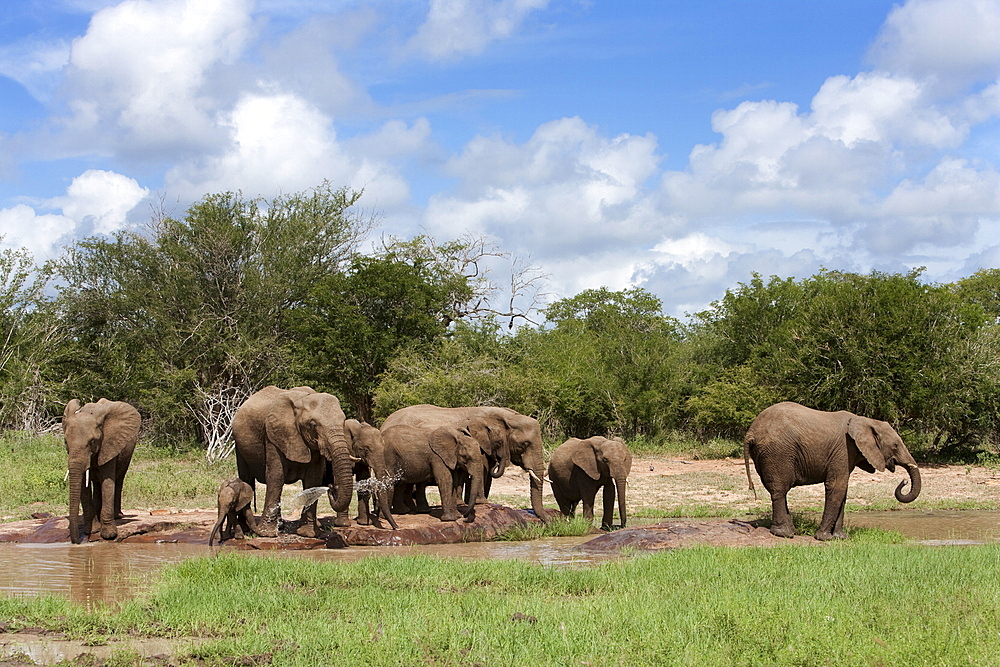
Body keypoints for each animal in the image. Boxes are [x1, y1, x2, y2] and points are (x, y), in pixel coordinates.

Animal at [62, 400, 141, 544]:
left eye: (92, 441)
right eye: (66, 442)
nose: (76, 542)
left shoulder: (109, 443)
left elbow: (108, 482)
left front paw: (109, 535)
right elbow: (84, 485)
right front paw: (93, 530)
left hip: (128, 450)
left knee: (119, 479)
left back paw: (118, 516)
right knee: (96, 483)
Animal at [234, 386, 356, 536]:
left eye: (343, 421)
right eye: (313, 424)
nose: (332, 488)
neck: (303, 399)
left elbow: (313, 479)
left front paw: (308, 533)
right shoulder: (272, 435)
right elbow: (276, 477)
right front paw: (266, 534)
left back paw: (280, 526)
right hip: (239, 446)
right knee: (247, 480)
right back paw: (247, 530)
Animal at [378, 404, 548, 520]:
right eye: (524, 444)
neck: (507, 416)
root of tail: (383, 424)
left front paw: (472, 503)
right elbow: (483, 469)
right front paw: (480, 503)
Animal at [744, 402, 920, 544]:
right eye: (895, 445)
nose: (904, 481)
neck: (866, 420)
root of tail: (751, 432)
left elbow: (843, 491)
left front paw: (841, 537)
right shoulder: (844, 449)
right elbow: (837, 487)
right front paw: (824, 538)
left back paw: (790, 531)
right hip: (778, 452)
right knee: (780, 490)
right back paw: (785, 534)